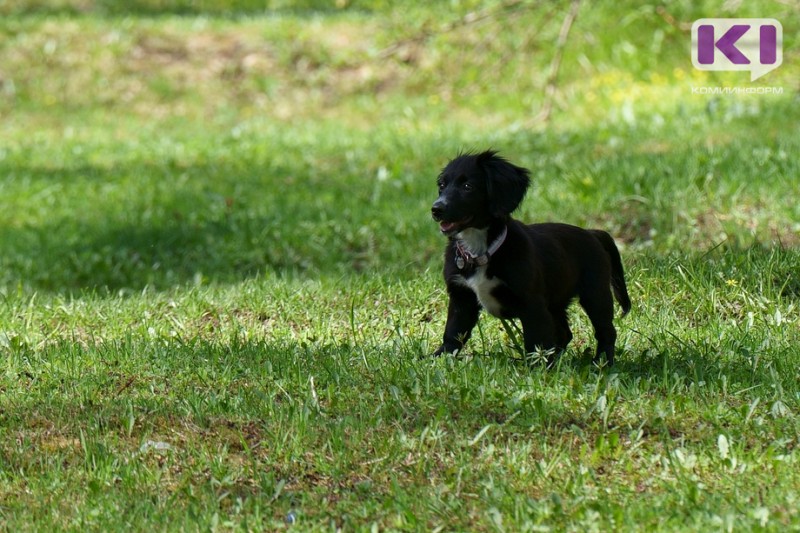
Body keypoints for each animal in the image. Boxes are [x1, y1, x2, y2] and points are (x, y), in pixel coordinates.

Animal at [432, 150, 632, 366]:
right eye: (441, 185)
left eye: (468, 186)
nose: (436, 209)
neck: (481, 249)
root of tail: (592, 232)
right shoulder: (462, 297)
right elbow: (453, 333)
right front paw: (437, 359)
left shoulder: (531, 302)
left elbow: (536, 340)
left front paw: (534, 369)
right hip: (556, 299)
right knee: (564, 333)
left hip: (595, 293)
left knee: (606, 330)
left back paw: (601, 362)